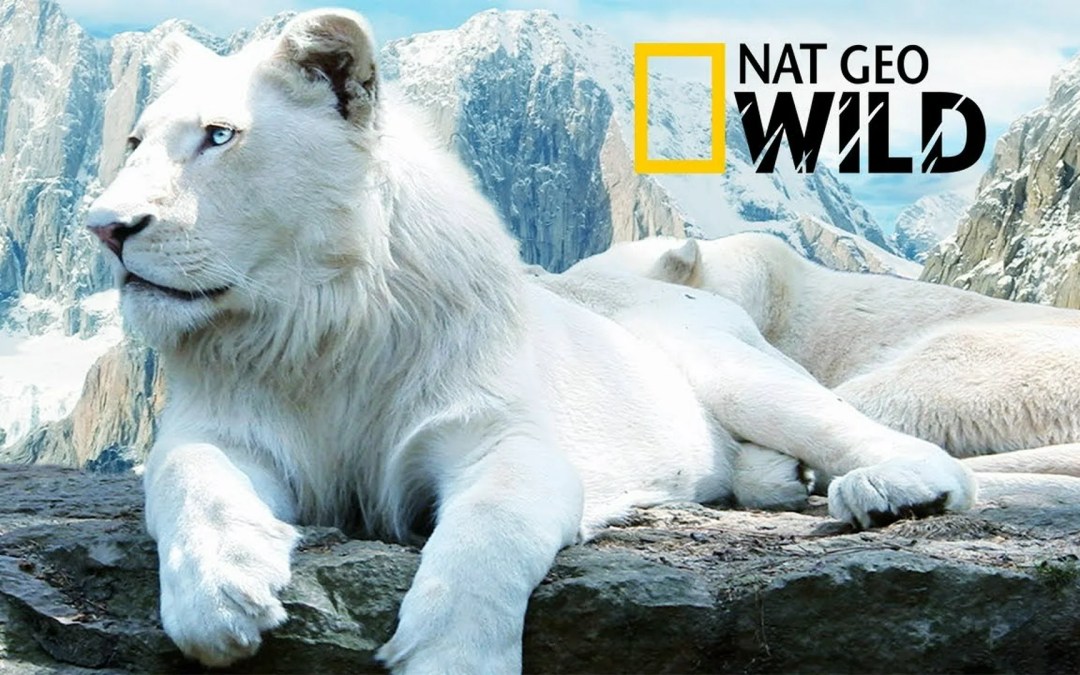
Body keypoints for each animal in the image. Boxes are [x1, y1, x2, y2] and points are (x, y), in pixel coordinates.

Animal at [85, 10, 980, 672]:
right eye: (133, 142)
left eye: (219, 136)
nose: (105, 227)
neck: (317, 322)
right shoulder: (220, 428)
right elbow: (191, 479)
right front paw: (222, 596)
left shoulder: (501, 435)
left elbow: (488, 536)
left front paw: (450, 659)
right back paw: (777, 481)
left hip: (735, 370)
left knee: (887, 442)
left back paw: (890, 488)